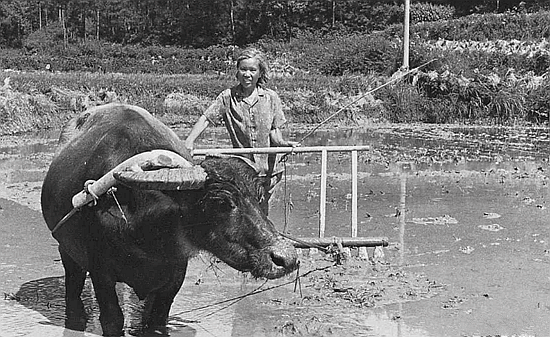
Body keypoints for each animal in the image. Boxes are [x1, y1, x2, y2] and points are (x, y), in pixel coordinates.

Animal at [41, 102, 300, 334]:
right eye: (221, 203)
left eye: (260, 197)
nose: (286, 258)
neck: (147, 235)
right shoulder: (100, 272)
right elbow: (113, 319)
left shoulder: (174, 276)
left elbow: (156, 319)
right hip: (66, 251)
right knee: (73, 289)